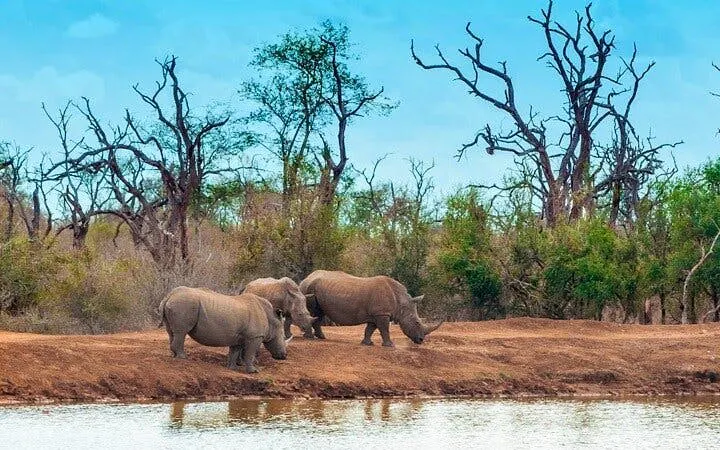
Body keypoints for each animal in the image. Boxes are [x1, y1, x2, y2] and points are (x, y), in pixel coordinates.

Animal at [158, 286, 291, 373]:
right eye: (283, 337)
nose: (283, 356)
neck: (271, 318)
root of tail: (169, 296)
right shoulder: (255, 336)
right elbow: (250, 353)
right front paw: (254, 371)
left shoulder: (239, 337)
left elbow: (234, 351)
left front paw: (232, 368)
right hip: (184, 304)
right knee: (181, 332)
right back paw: (183, 357)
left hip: (177, 304)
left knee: (172, 332)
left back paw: (174, 355)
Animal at [299, 270, 443, 347]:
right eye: (417, 322)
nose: (421, 340)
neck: (402, 302)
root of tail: (305, 278)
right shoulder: (382, 313)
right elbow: (384, 329)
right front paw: (390, 345)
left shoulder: (376, 314)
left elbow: (370, 329)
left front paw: (367, 343)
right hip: (309, 289)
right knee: (314, 312)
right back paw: (311, 337)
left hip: (316, 289)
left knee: (319, 313)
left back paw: (321, 337)